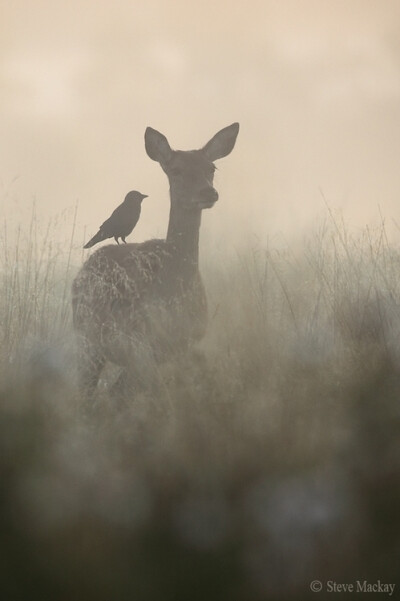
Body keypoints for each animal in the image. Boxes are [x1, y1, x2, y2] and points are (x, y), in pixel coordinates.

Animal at [71, 123, 239, 398]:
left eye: (211, 168)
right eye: (176, 169)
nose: (208, 192)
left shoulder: (183, 344)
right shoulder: (140, 344)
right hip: (87, 340)